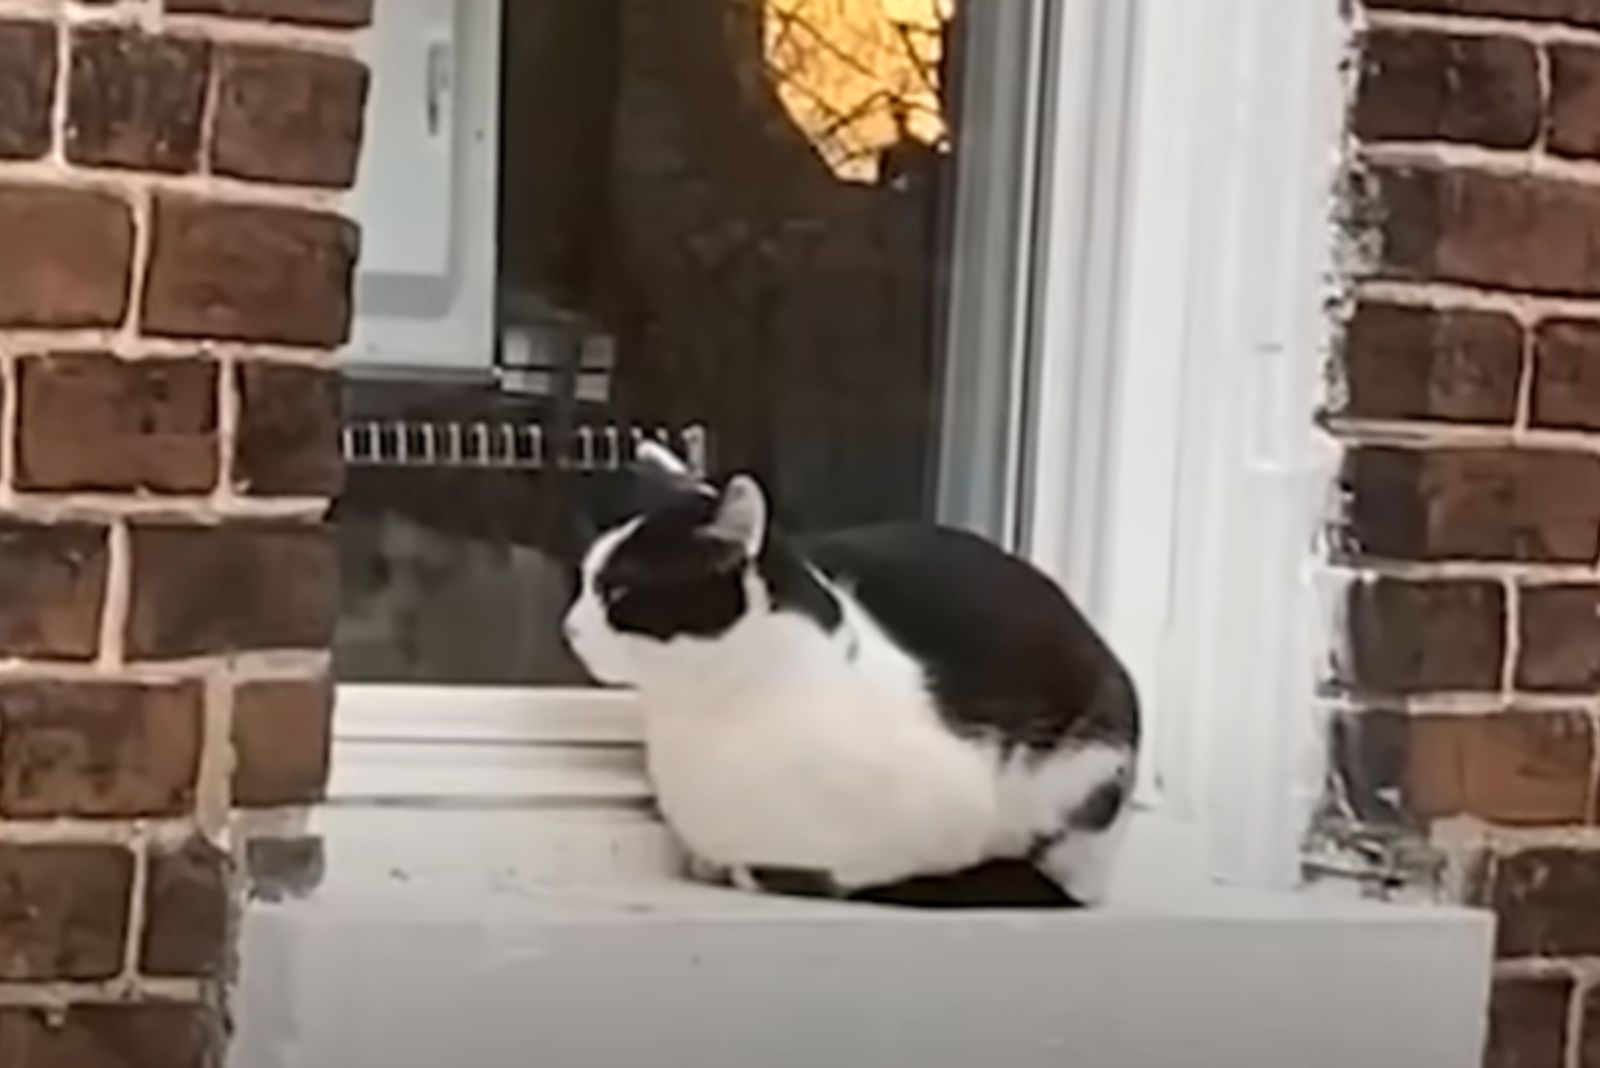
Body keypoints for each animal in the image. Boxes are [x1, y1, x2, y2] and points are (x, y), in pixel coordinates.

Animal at [563, 438, 1139, 908]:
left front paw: (759, 872)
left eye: (618, 592)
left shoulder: (952, 814)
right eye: (586, 578)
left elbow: (849, 873)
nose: (568, 628)